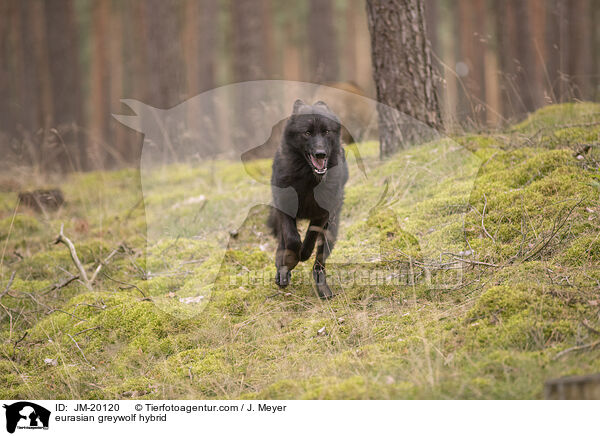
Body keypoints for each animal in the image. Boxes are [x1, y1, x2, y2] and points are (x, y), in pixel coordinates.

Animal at [266, 99, 346, 298]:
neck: (309, 179)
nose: (320, 154)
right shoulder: (285, 208)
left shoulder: (322, 214)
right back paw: (283, 271)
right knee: (283, 244)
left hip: (332, 230)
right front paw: (291, 260)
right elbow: (292, 239)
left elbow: (310, 237)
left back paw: (323, 288)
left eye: (326, 132)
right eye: (307, 133)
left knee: (320, 261)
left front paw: (303, 254)